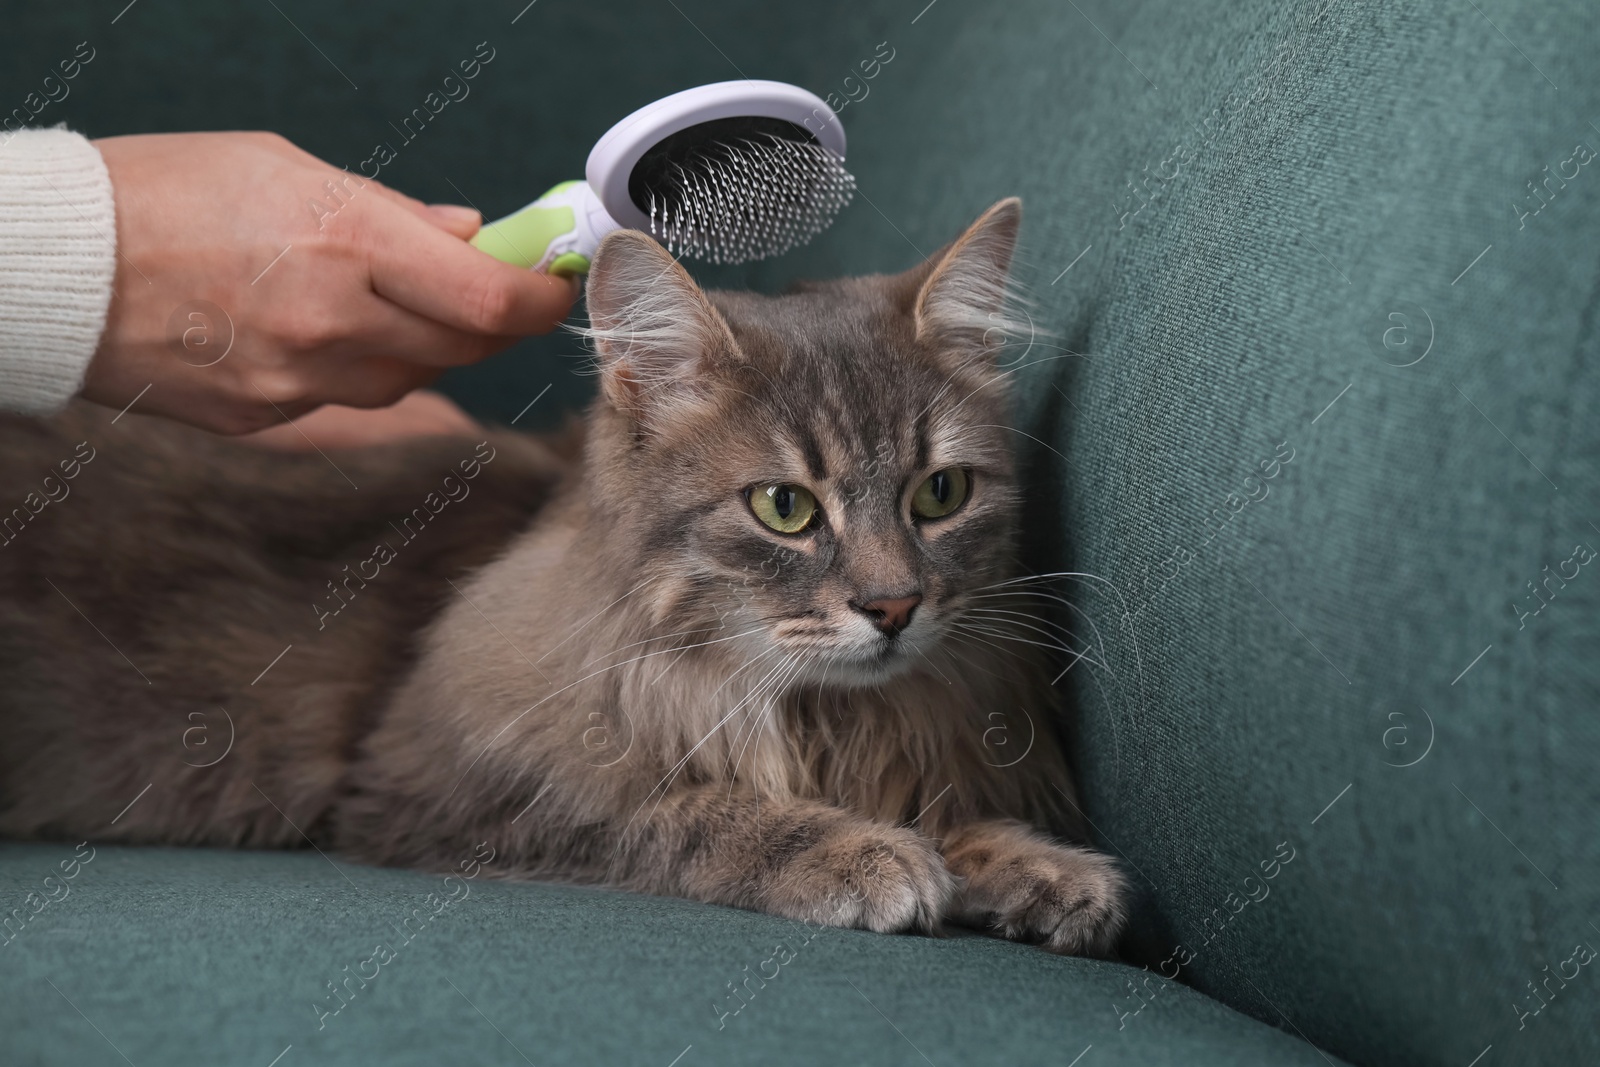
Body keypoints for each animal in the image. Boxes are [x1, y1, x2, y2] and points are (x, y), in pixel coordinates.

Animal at [0, 199, 1126, 959]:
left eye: (940, 492)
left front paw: (1035, 867)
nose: (894, 606)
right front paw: (858, 850)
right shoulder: (436, 786)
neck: (807, 715)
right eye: (785, 507)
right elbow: (680, 805)